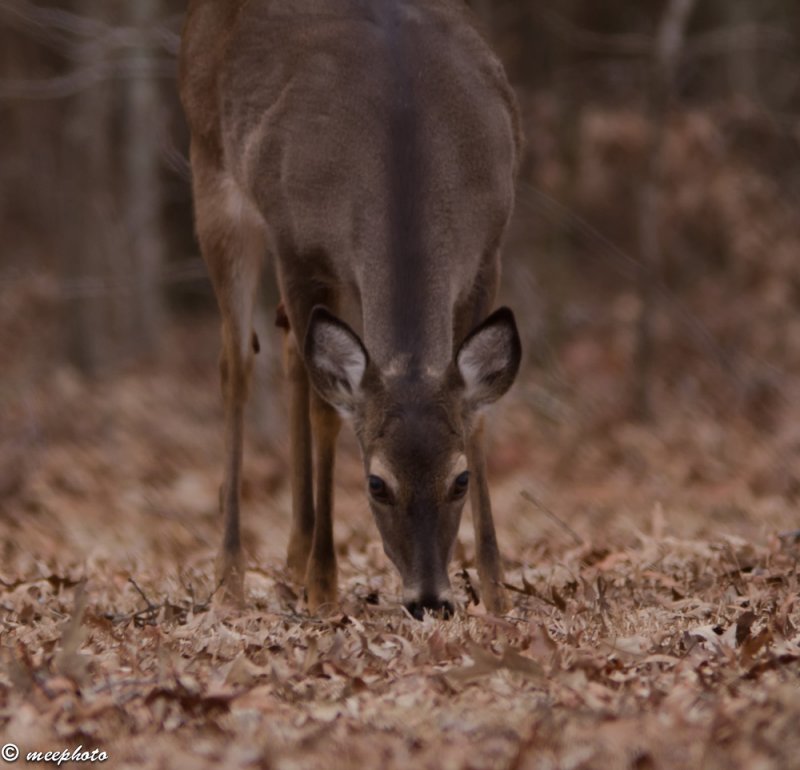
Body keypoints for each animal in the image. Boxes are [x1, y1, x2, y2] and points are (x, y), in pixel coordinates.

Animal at [178, 0, 520, 616]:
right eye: (376, 484)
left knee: (292, 349)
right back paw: (232, 574)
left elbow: (479, 416)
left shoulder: (489, 248)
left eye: (459, 480)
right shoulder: (299, 244)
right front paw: (323, 585)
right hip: (211, 168)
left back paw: (290, 557)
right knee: (237, 364)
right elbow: (325, 411)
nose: (429, 598)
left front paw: (495, 587)